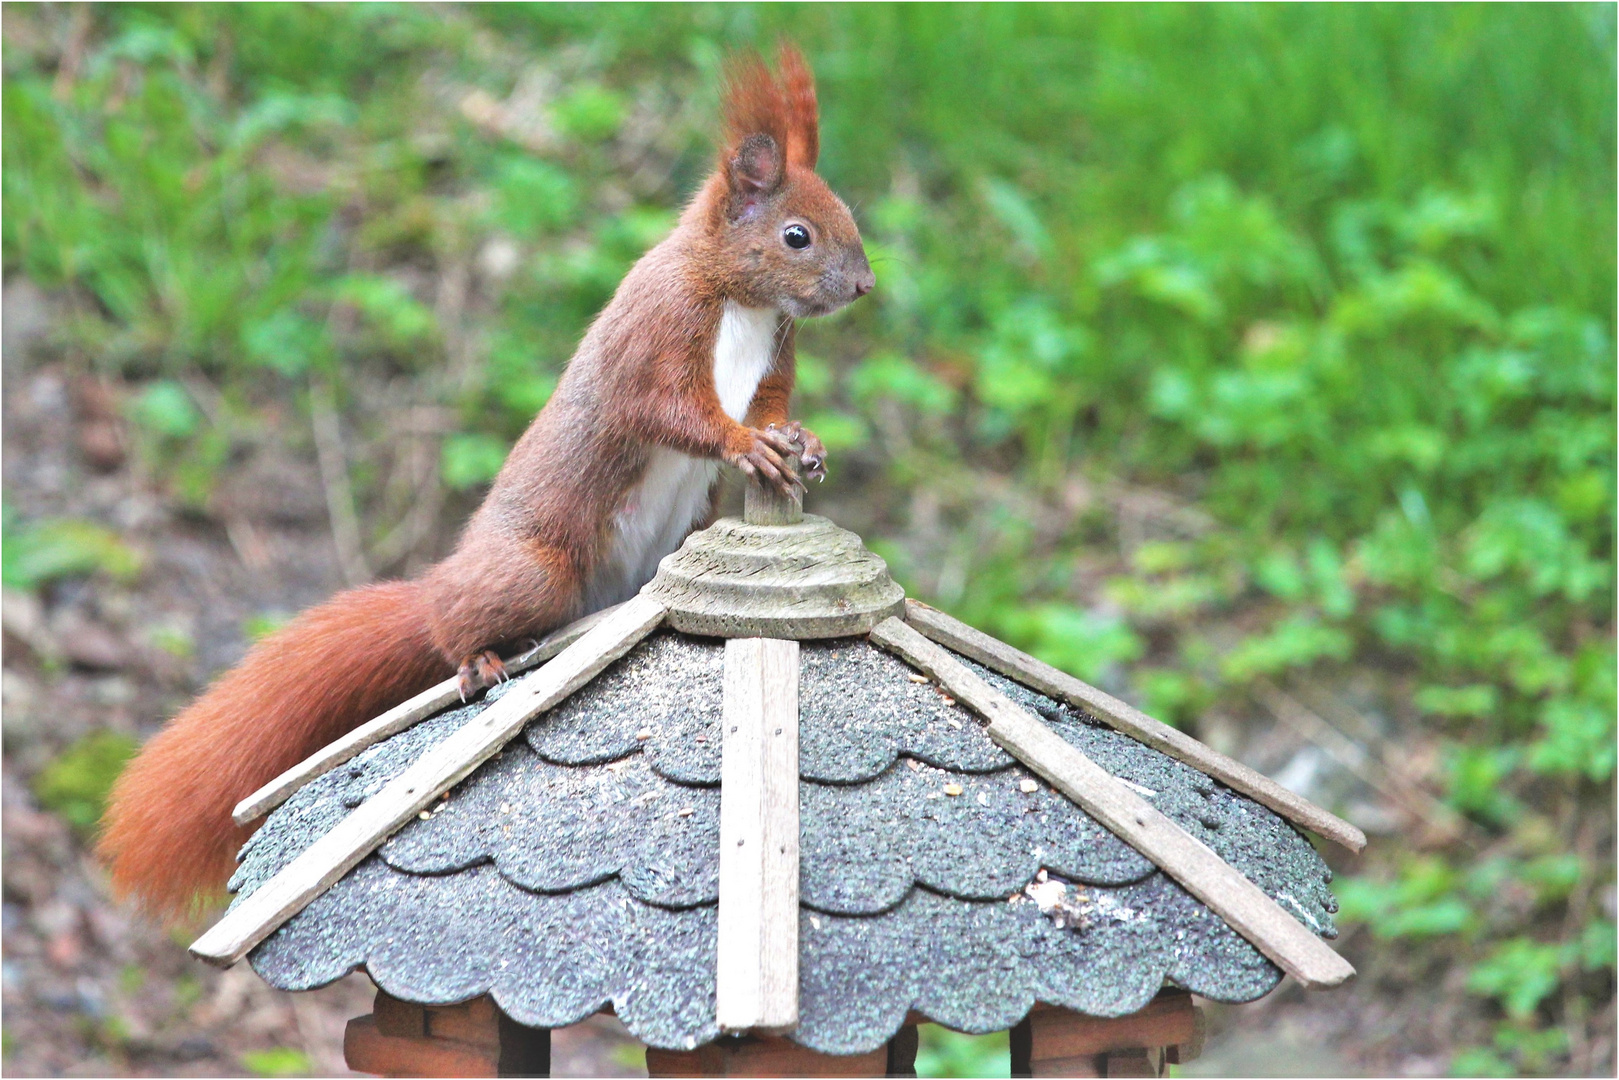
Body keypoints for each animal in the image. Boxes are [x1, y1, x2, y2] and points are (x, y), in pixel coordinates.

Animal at [101, 44, 874, 919]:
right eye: (796, 236)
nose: (863, 285)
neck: (739, 301)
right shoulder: (658, 334)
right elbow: (671, 410)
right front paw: (746, 444)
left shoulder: (773, 354)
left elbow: (773, 403)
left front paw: (799, 442)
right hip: (531, 573)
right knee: (452, 620)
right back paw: (474, 657)